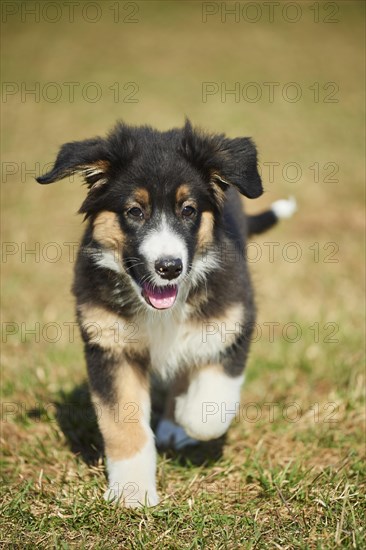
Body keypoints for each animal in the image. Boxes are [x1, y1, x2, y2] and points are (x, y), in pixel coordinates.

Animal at [37, 119, 296, 508]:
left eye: (188, 210)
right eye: (134, 211)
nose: (170, 267)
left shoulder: (232, 319)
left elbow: (211, 408)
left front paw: (188, 413)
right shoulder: (110, 347)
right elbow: (122, 424)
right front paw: (132, 492)